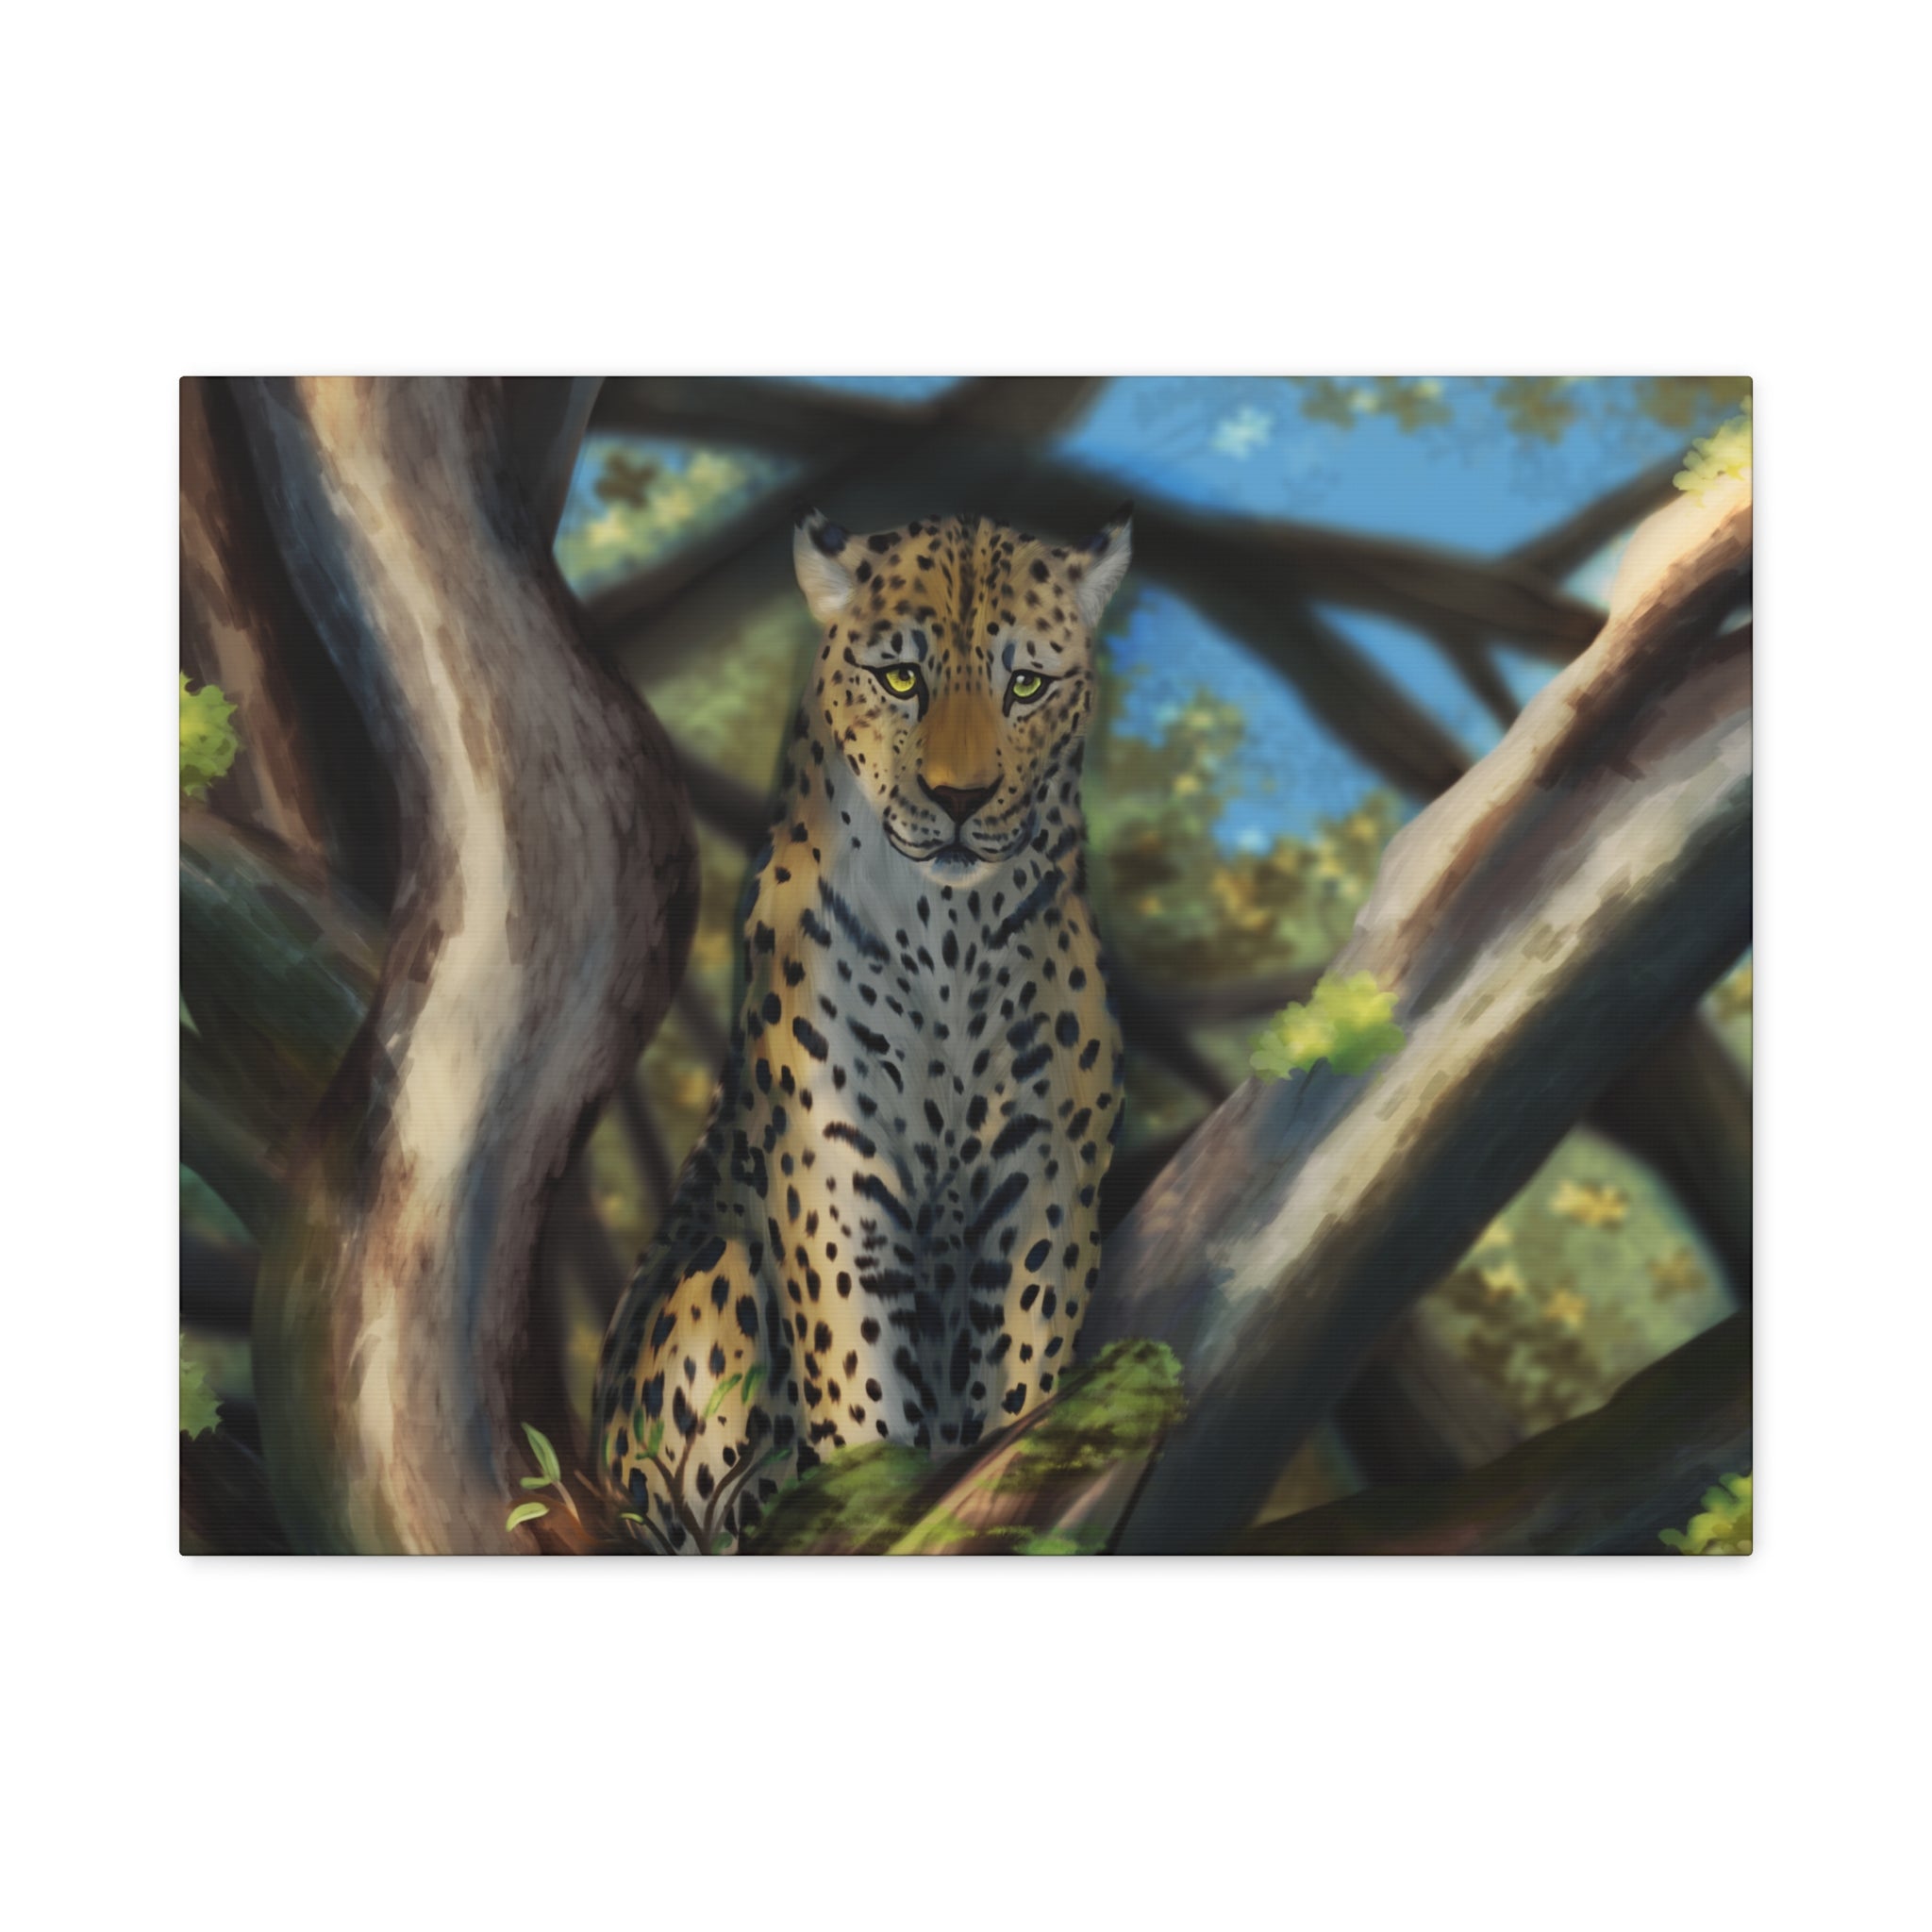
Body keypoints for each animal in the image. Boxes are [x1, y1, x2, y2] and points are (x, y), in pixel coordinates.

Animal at [592, 504, 1133, 1552]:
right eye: (900, 678)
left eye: (1026, 684)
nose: (960, 799)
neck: (951, 933)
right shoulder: (834, 1175)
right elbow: (859, 1382)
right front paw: (875, 1496)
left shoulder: (1042, 1177)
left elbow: (1025, 1368)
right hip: (709, 1283)